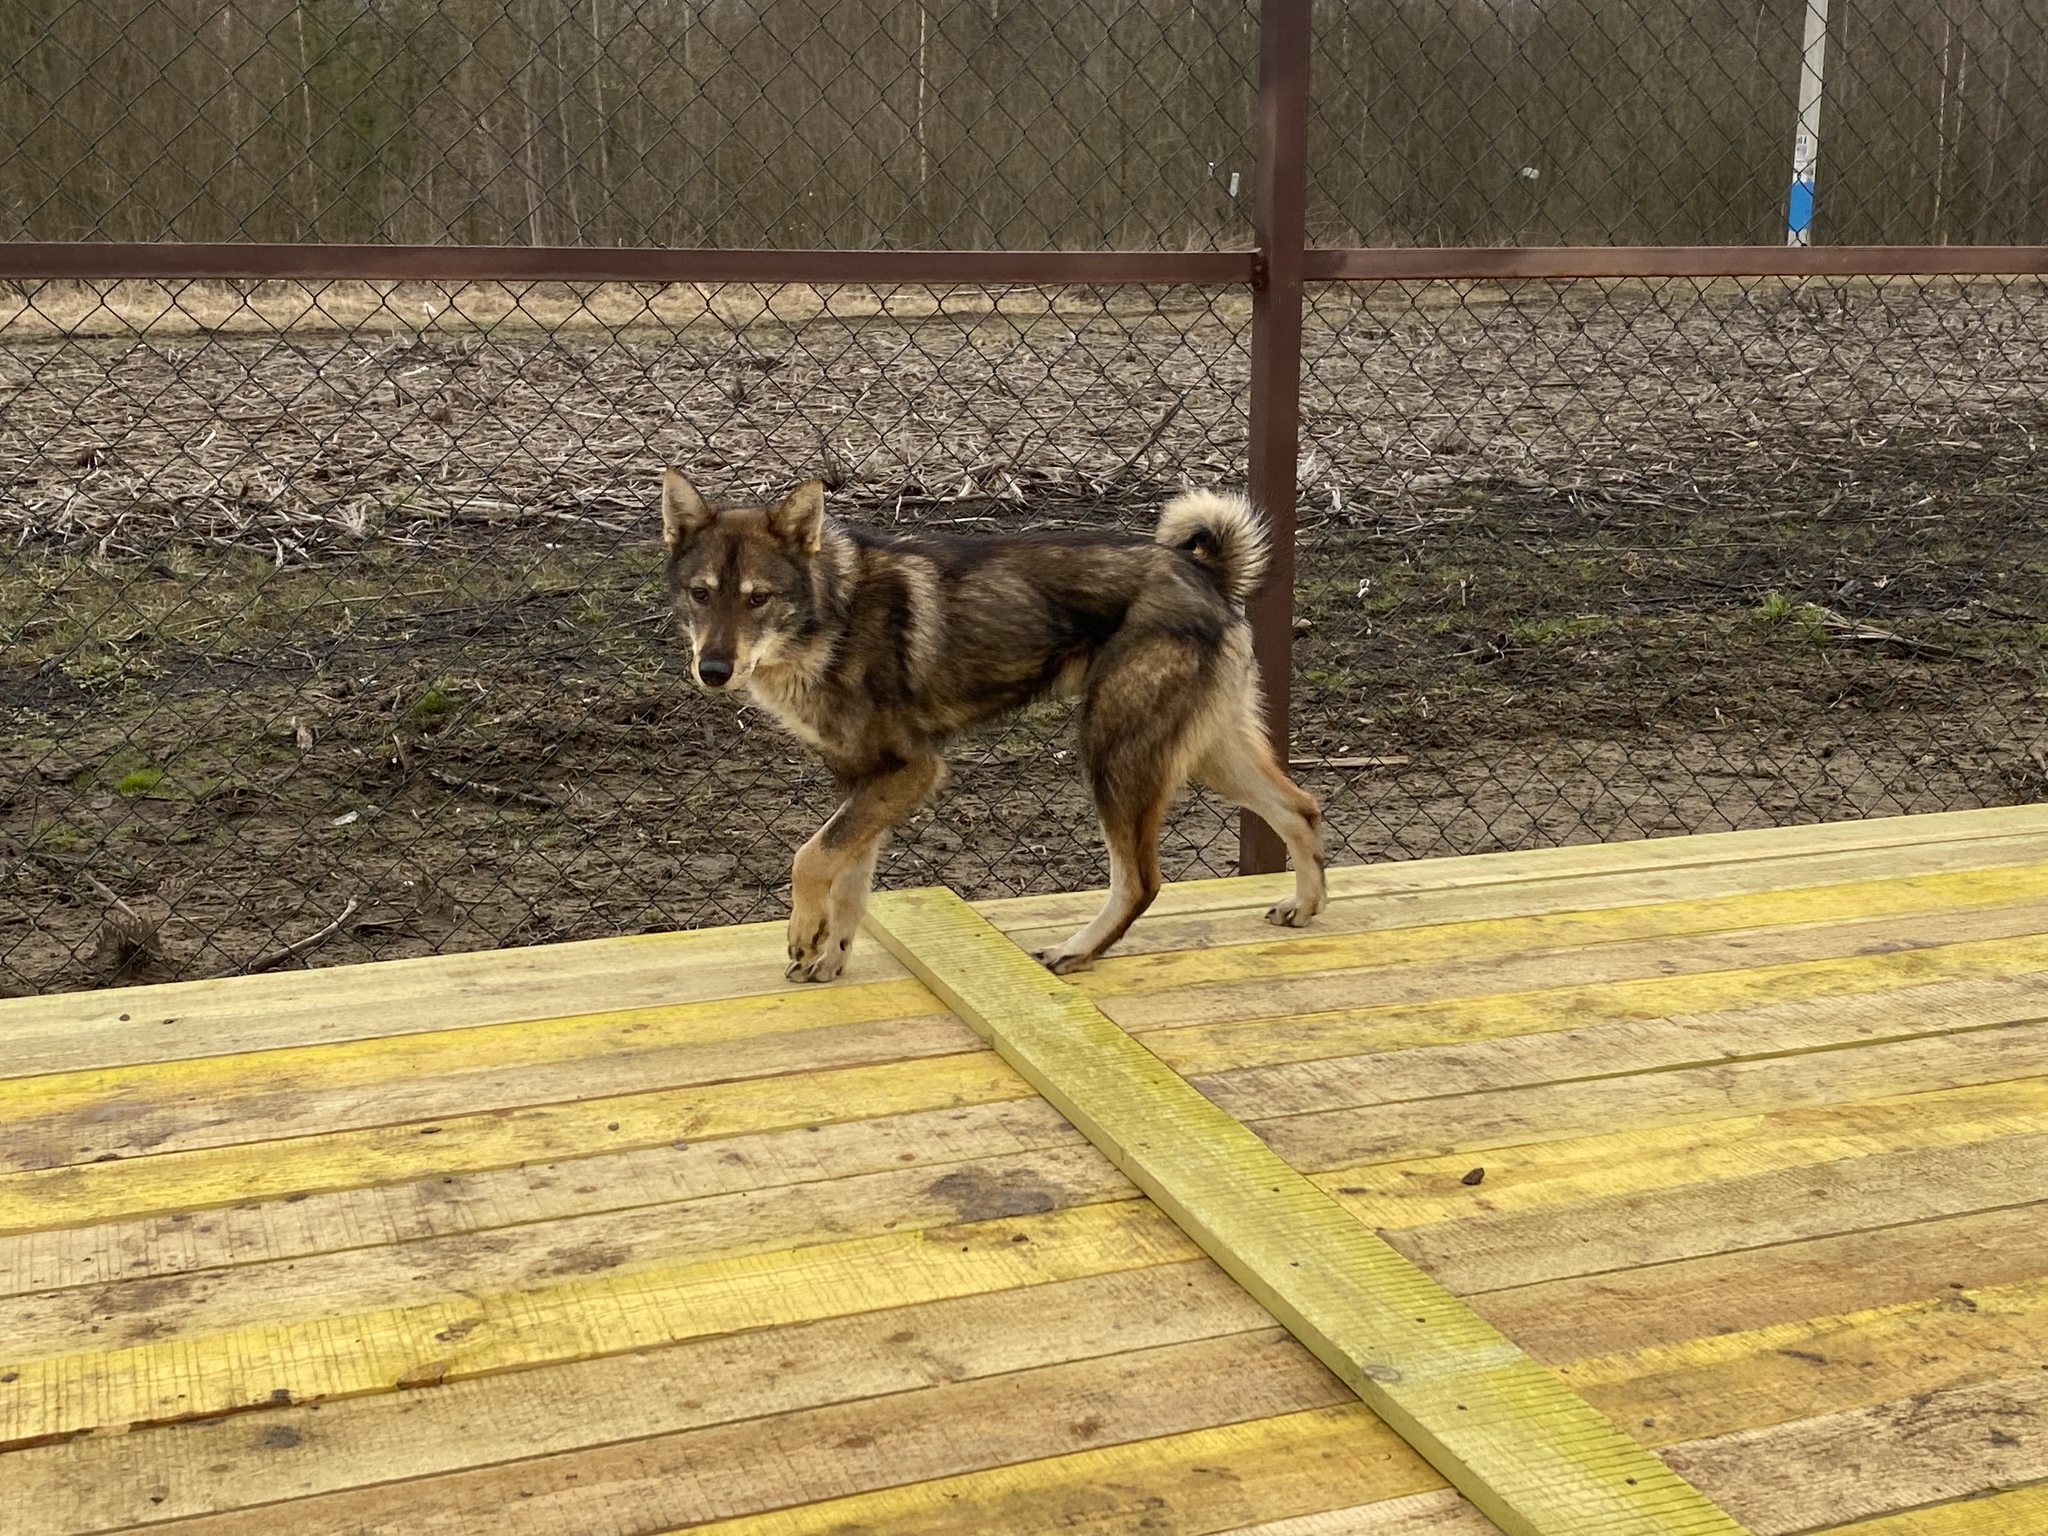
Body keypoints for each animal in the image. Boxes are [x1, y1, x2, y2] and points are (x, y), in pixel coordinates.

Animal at [659, 473, 1327, 987]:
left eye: (758, 598)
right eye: (701, 594)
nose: (713, 671)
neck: (830, 617)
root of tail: (1203, 570)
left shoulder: (912, 771)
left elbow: (810, 856)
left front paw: (803, 935)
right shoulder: (869, 781)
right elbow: (848, 876)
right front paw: (831, 955)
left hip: (1114, 755)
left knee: (1142, 881)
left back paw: (1076, 950)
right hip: (1207, 755)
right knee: (1301, 807)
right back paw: (1306, 904)